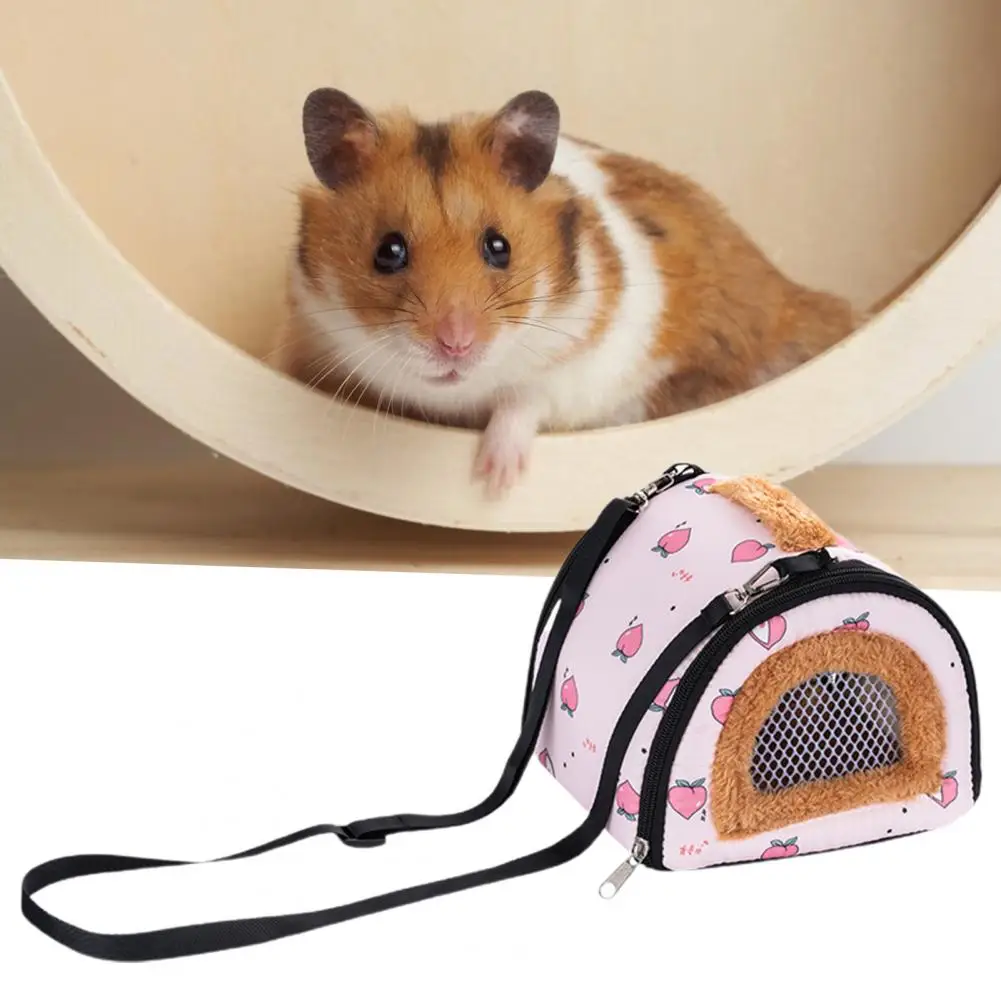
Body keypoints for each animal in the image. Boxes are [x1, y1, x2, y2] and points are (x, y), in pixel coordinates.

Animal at [275, 88, 856, 494]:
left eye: (499, 246)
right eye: (388, 251)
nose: (456, 345)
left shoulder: (580, 363)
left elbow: (525, 400)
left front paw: (494, 482)